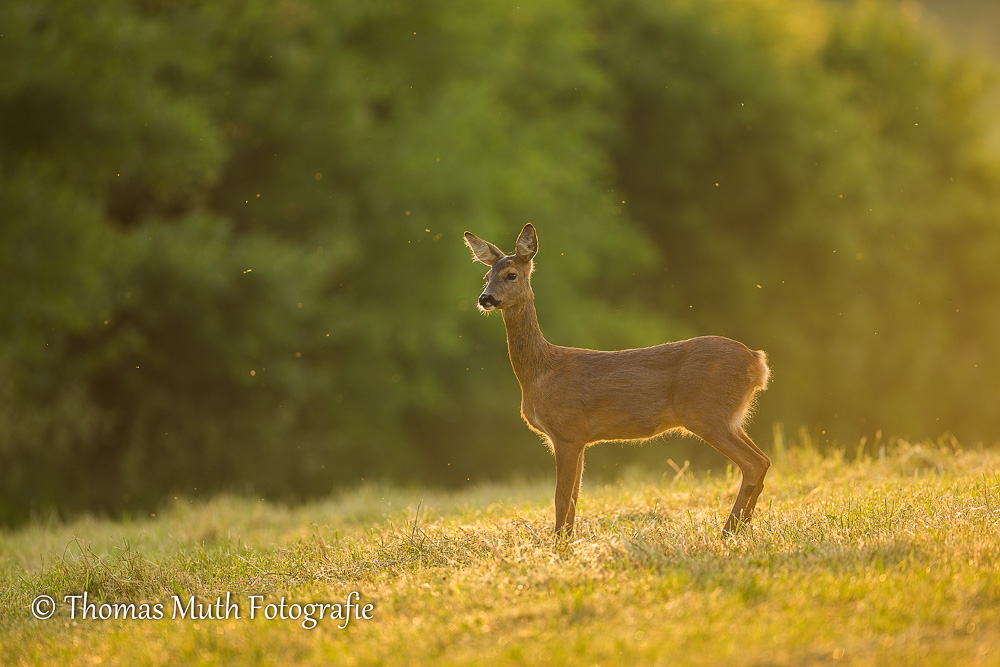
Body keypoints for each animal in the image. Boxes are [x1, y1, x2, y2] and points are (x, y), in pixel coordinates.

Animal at [464, 227, 768, 540]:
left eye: (511, 275)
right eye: (486, 276)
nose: (485, 298)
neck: (539, 372)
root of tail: (757, 361)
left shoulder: (567, 431)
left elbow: (562, 499)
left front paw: (558, 543)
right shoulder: (579, 439)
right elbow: (574, 498)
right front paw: (568, 539)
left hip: (705, 412)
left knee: (754, 463)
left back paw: (728, 531)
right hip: (730, 417)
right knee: (764, 461)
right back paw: (739, 527)